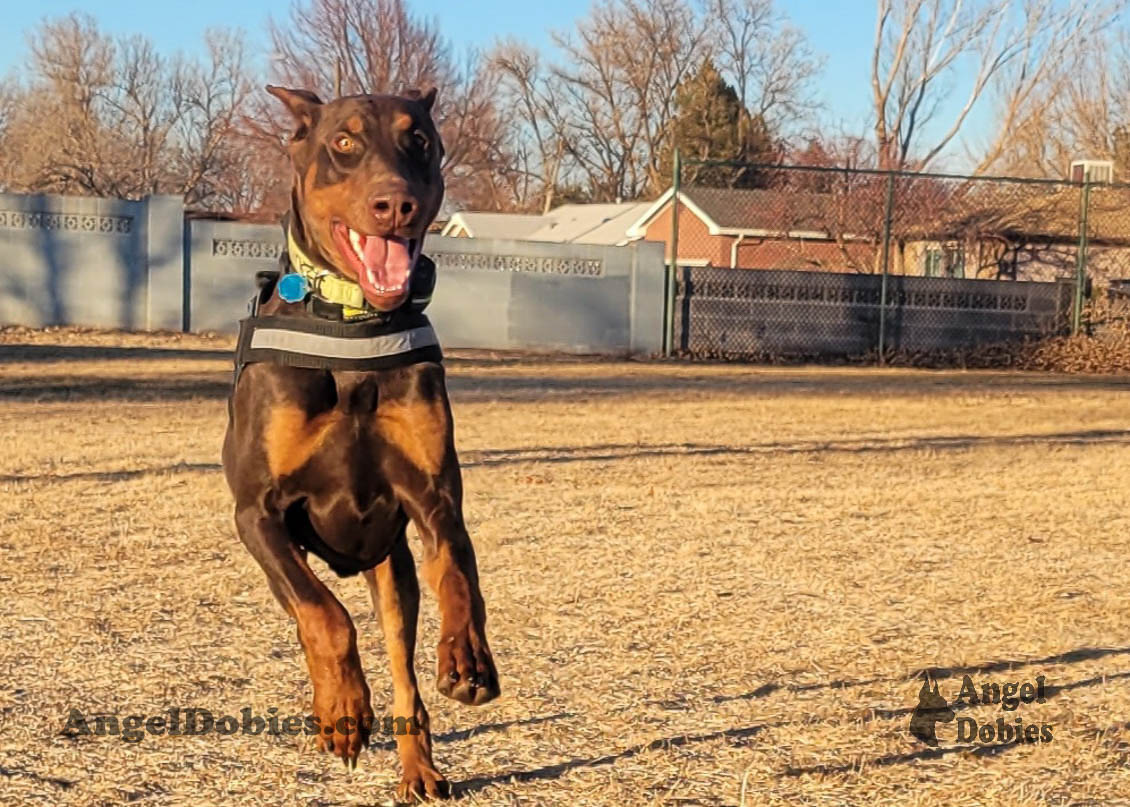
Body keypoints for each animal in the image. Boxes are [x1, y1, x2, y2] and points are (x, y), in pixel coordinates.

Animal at [222, 86, 497, 800]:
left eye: (419, 139)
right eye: (343, 141)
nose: (394, 203)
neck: (351, 322)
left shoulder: (434, 496)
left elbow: (460, 572)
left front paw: (468, 657)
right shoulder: (256, 513)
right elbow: (324, 616)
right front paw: (343, 709)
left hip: (391, 570)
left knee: (405, 678)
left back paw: (420, 768)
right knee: (313, 610)